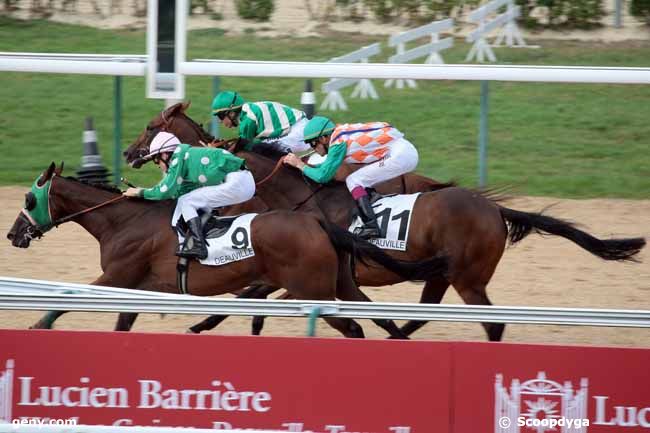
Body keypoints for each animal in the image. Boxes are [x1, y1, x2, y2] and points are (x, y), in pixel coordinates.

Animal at [6, 164, 450, 336]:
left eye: (29, 198)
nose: (13, 234)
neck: (123, 221)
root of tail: (317, 221)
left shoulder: (118, 276)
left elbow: (70, 297)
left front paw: (39, 324)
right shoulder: (137, 288)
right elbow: (122, 324)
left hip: (310, 290)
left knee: (353, 326)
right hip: (339, 284)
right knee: (374, 318)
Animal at [120, 103, 644, 340]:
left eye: (149, 127)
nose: (128, 153)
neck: (300, 196)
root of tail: (493, 209)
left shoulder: (305, 268)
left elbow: (259, 296)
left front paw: (204, 323)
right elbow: (261, 297)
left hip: (469, 277)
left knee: (490, 323)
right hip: (444, 274)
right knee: (422, 316)